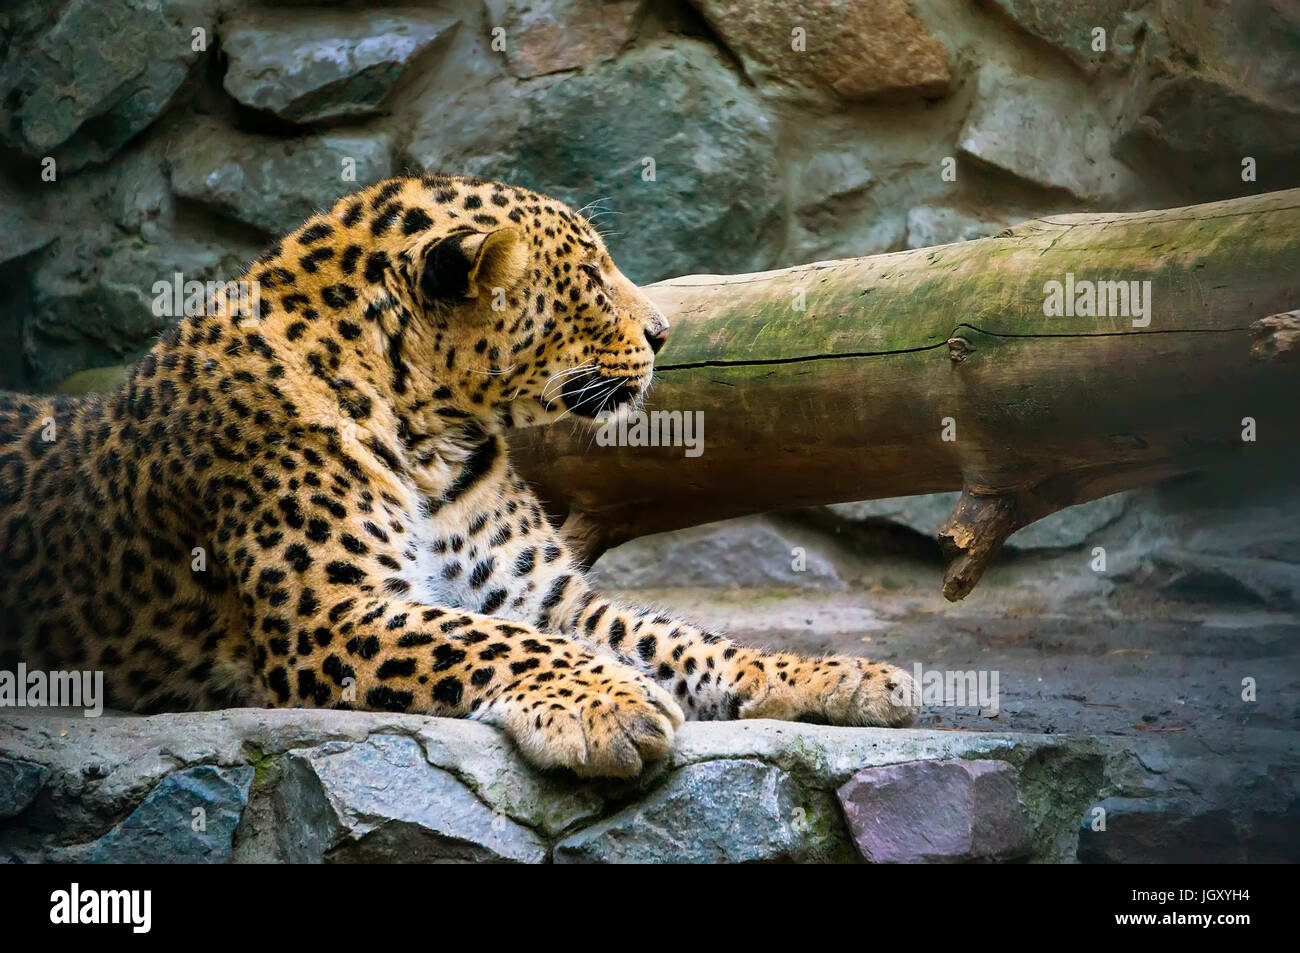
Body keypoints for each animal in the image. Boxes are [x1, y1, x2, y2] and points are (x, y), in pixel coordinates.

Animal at [0, 174, 916, 778]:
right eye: (590, 277)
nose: (664, 332)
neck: (431, 431)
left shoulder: (549, 597)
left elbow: (687, 639)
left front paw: (843, 676)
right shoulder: (331, 616)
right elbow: (487, 639)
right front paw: (609, 704)